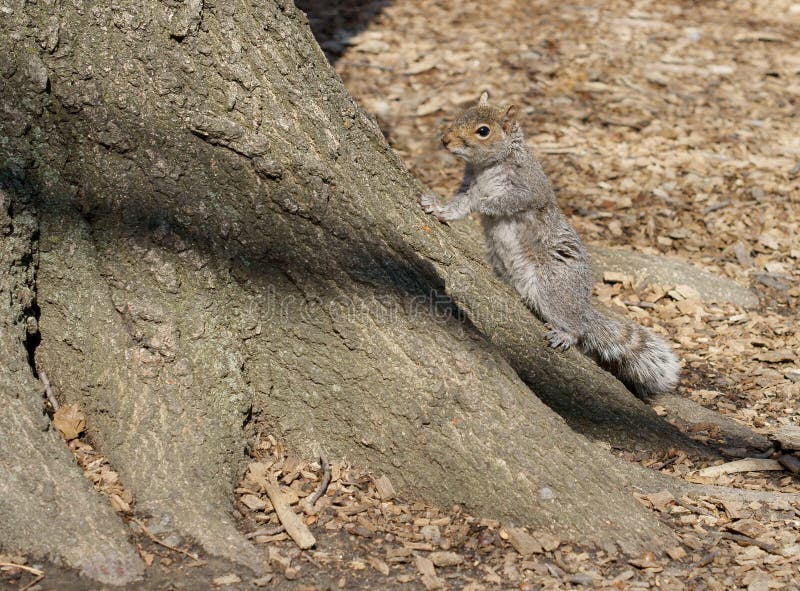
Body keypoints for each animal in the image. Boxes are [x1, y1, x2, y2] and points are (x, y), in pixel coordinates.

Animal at [422, 92, 680, 396]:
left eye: (483, 131)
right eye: (462, 114)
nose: (445, 140)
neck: (486, 167)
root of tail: (582, 307)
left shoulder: (529, 189)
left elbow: (504, 201)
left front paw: (480, 202)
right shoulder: (467, 184)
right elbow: (459, 205)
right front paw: (438, 208)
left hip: (553, 286)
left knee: (575, 326)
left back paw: (566, 334)